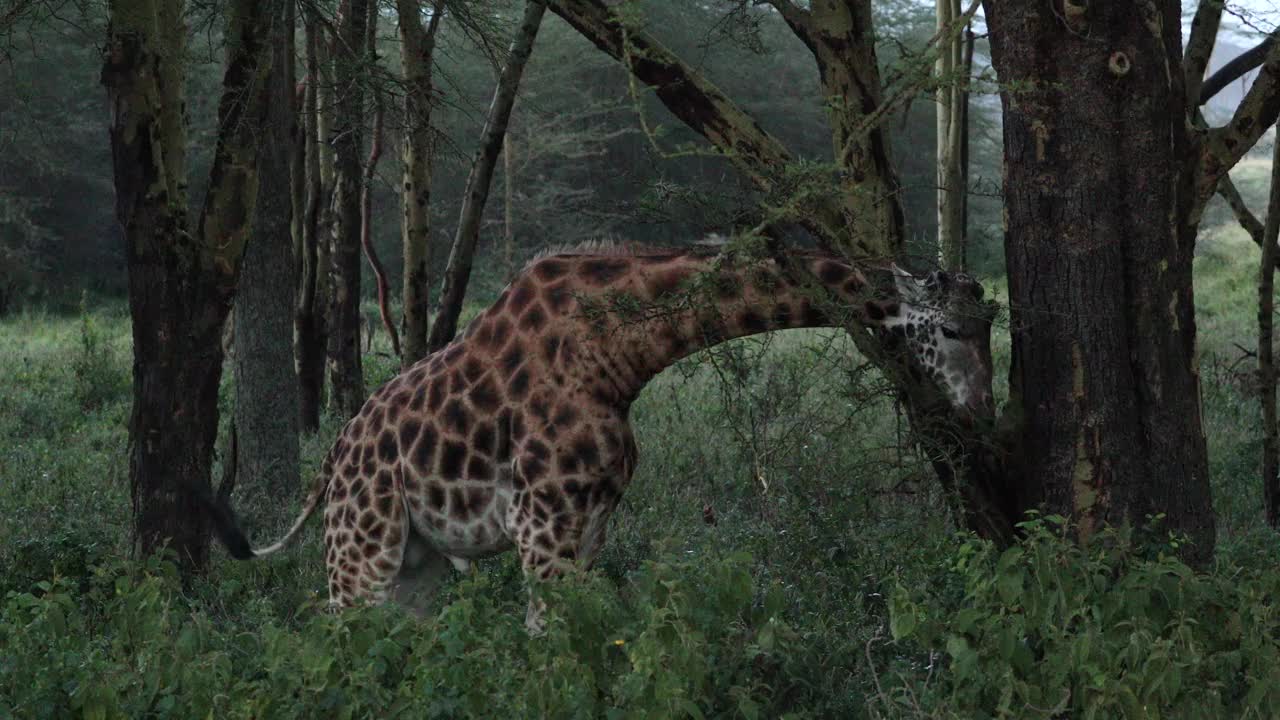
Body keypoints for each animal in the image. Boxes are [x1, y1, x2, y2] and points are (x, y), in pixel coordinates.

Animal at [204, 240, 993, 627]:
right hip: (360, 549)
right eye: (954, 330)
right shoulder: (541, 521)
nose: (983, 410)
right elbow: (546, 642)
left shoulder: (590, 522)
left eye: (990, 326)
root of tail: (333, 459)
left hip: (414, 561)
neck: (620, 354)